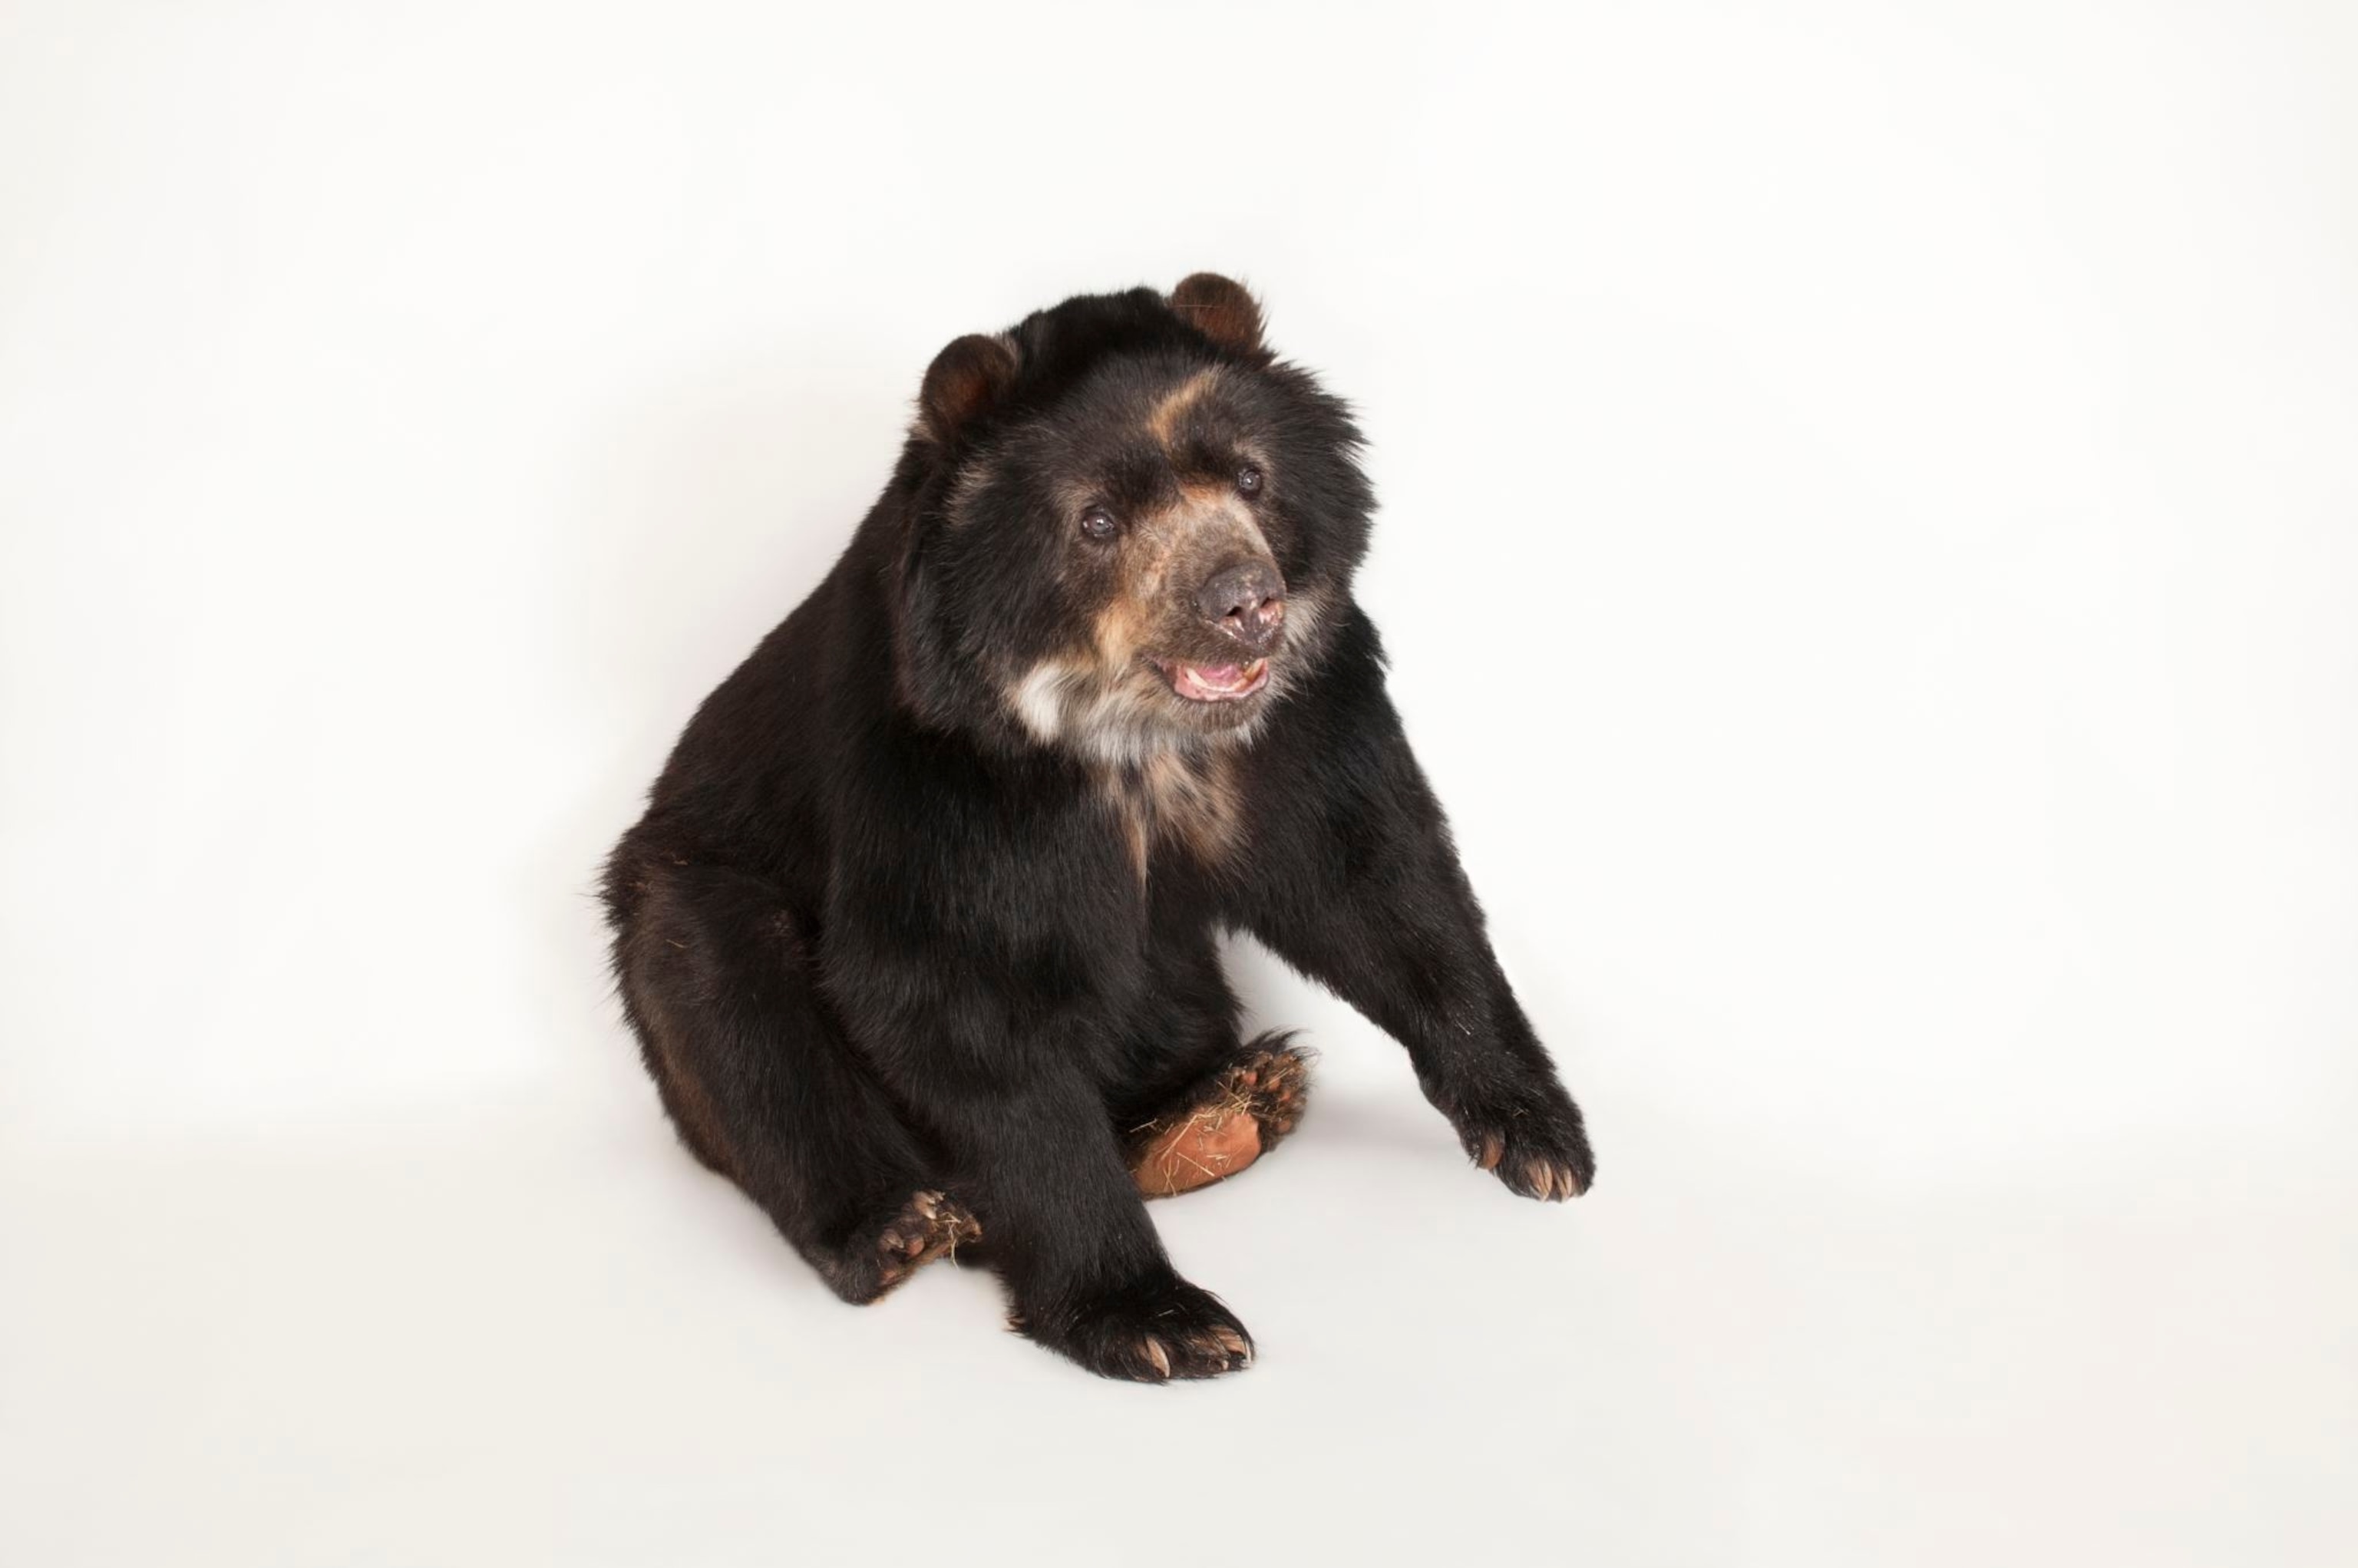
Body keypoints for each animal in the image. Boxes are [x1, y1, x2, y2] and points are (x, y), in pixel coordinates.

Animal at [602, 274, 1594, 1382]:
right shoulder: (933, 771)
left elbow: (1378, 883)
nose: (1243, 602)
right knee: (726, 987)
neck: (1134, 737)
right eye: (1099, 520)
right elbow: (953, 999)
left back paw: (1224, 1107)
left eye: (1251, 477)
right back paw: (898, 1226)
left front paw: (1541, 1138)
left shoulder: (1302, 717)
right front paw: (1160, 1318)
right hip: (688, 905)